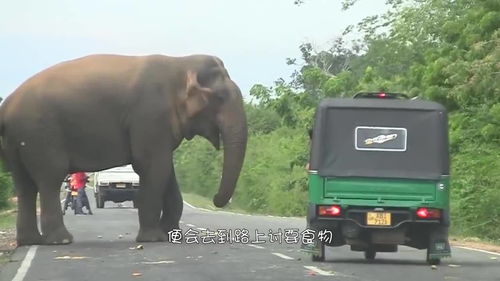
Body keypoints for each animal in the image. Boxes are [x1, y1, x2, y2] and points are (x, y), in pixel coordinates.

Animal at [0, 53, 248, 244]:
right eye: (220, 97)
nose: (216, 200)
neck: (181, 63)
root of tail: (7, 106)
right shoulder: (151, 116)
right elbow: (152, 166)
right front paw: (154, 239)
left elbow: (165, 169)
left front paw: (170, 235)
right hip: (40, 134)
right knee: (49, 179)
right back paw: (61, 241)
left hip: (19, 140)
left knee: (24, 185)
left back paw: (31, 241)